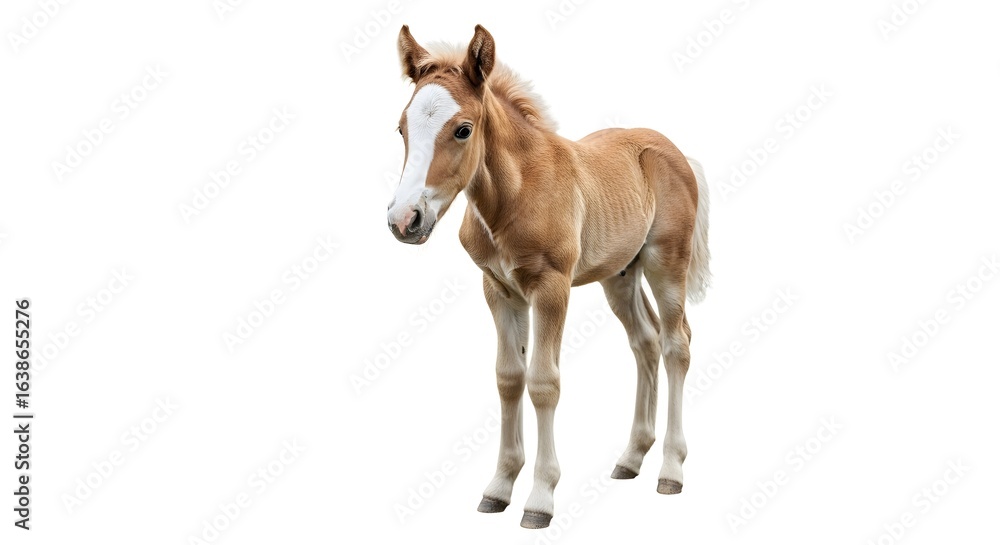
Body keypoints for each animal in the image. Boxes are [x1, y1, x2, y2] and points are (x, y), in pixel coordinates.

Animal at [386, 24, 711, 529]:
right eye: (402, 128)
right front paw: (498, 488)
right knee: (646, 341)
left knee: (677, 344)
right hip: (620, 274)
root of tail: (678, 153)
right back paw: (631, 458)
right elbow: (508, 377)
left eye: (462, 129)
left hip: (666, 264)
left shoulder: (551, 288)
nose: (404, 220)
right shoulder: (499, 289)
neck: (513, 195)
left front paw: (540, 498)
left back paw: (671, 470)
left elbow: (543, 382)